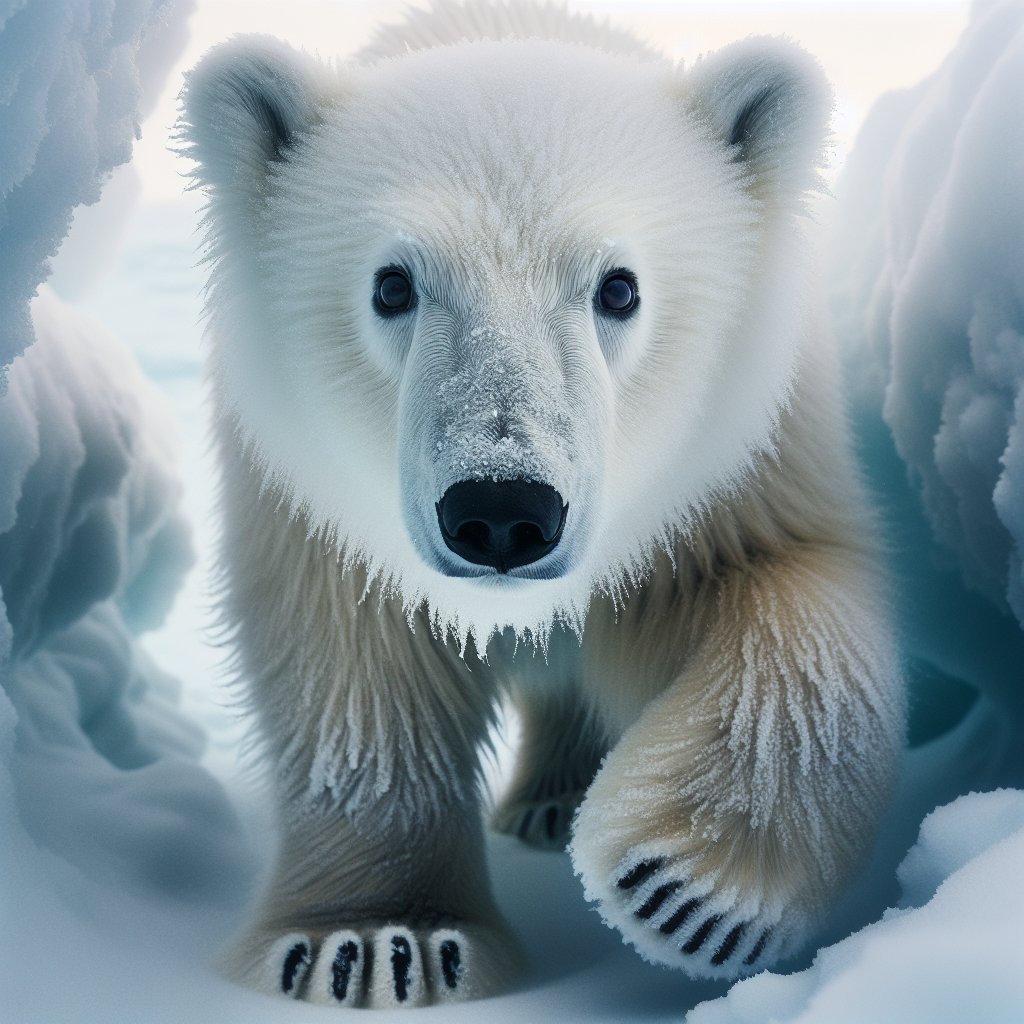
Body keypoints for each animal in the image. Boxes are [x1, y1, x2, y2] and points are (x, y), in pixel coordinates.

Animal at [180, 0, 905, 1008]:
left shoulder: (742, 469)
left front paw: (686, 888)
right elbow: (356, 679)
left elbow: (791, 594)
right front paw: (376, 942)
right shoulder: (311, 500)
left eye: (619, 287)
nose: (500, 512)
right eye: (392, 284)